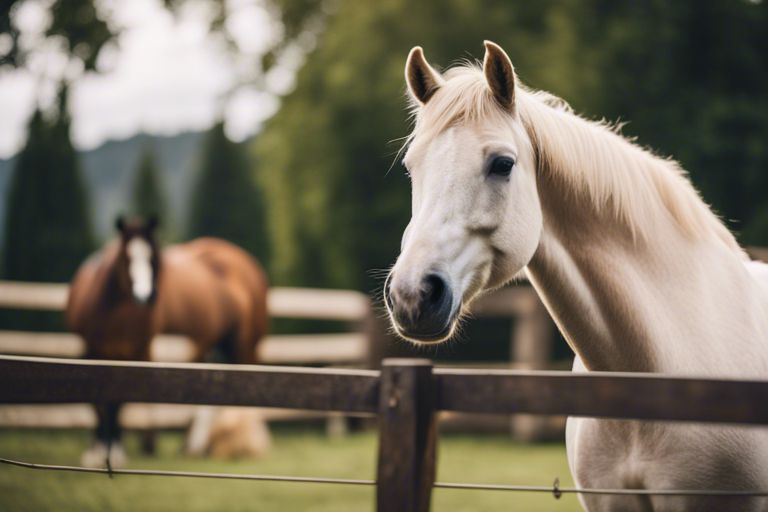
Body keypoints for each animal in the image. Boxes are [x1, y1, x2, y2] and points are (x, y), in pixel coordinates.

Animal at [67, 218, 270, 466]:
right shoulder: (90, 351)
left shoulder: (134, 354)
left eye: (154, 258)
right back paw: (193, 447)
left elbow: (116, 401)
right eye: (126, 257)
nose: (146, 296)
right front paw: (96, 453)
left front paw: (114, 454)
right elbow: (96, 400)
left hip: (243, 346)